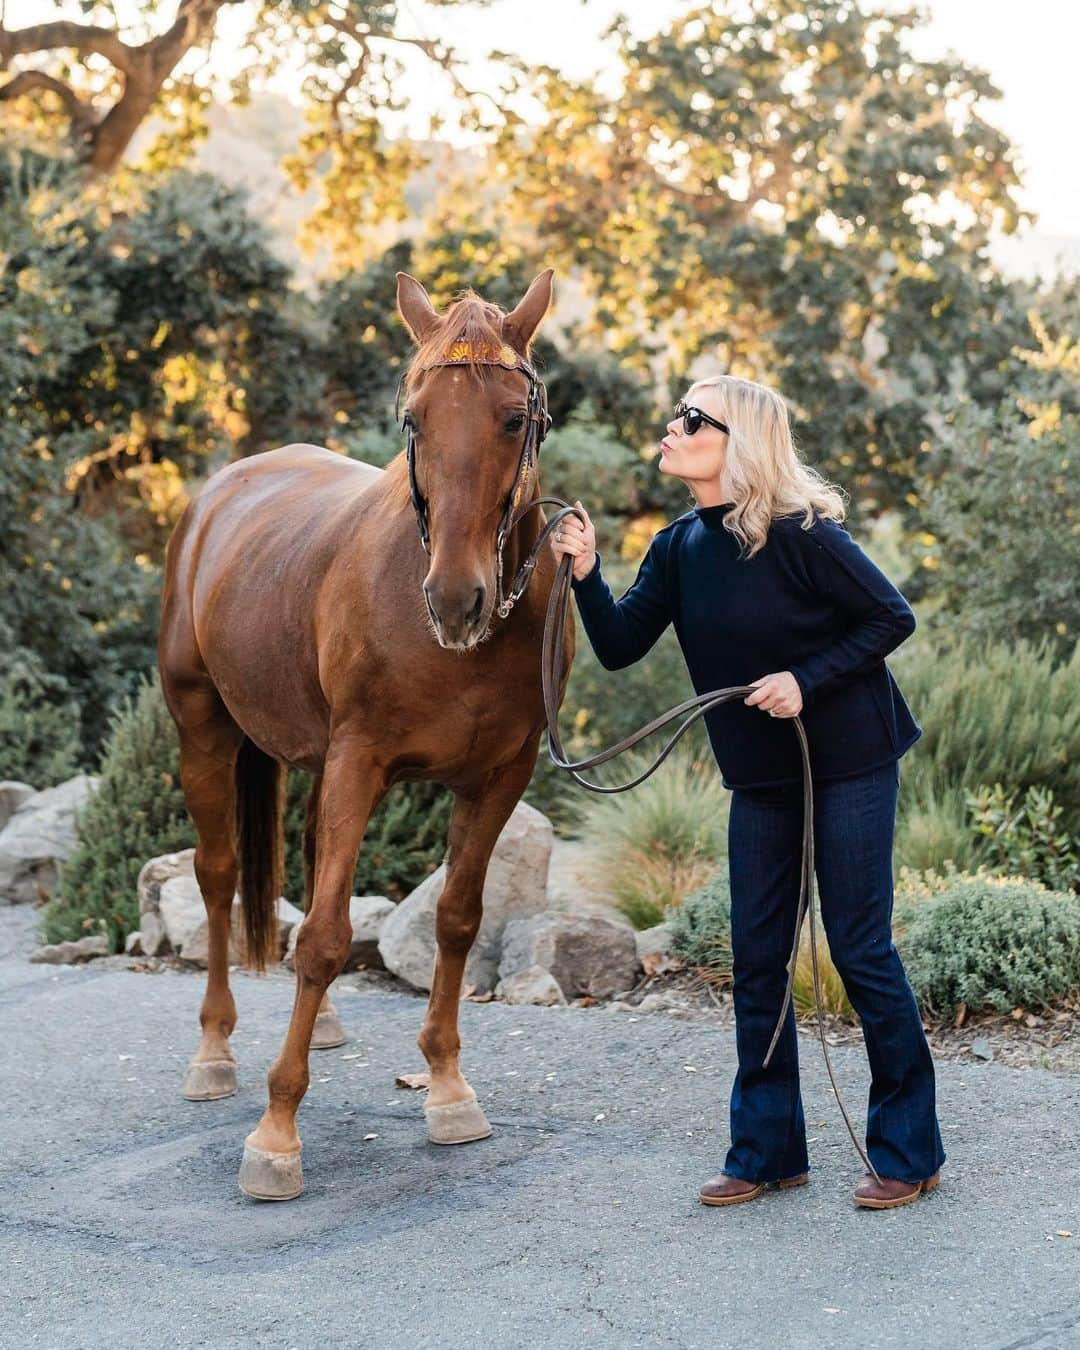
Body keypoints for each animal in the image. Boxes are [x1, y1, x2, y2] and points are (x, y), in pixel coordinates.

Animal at [157, 268, 572, 1198]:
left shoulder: (501, 775)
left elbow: (455, 920)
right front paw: (276, 1133)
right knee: (217, 876)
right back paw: (211, 1051)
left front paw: (447, 1088)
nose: (455, 600)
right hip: (202, 727)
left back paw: (323, 1026)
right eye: (415, 419)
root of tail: (217, 495)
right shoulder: (359, 761)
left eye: (514, 418)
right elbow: (322, 939)